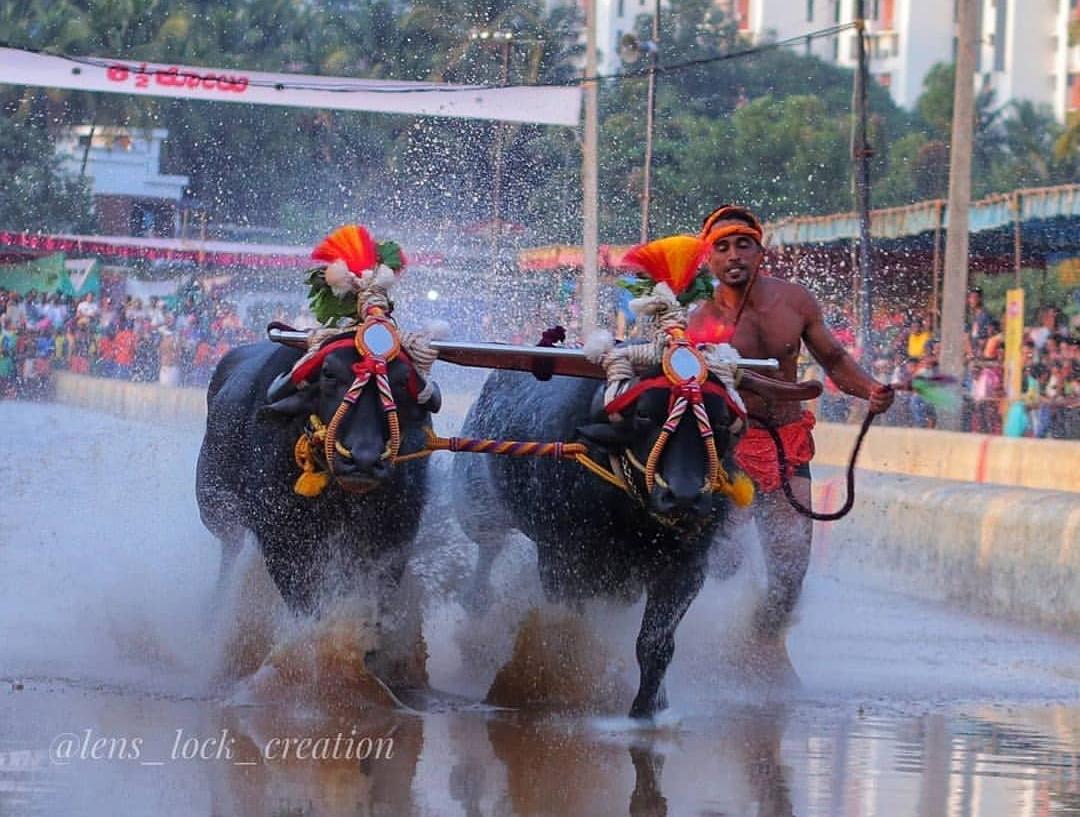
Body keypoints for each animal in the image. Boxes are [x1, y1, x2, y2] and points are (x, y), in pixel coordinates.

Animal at [198, 335, 438, 678]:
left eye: (403, 382)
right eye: (329, 374)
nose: (363, 459)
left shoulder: (393, 538)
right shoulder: (282, 540)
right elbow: (306, 601)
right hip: (217, 510)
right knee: (229, 552)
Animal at [451, 363, 807, 713]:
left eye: (719, 420)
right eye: (645, 414)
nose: (684, 496)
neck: (633, 513)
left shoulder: (686, 569)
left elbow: (655, 645)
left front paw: (649, 707)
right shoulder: (561, 565)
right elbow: (573, 631)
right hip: (477, 503)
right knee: (487, 550)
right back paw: (476, 607)